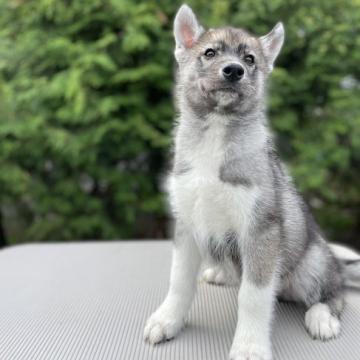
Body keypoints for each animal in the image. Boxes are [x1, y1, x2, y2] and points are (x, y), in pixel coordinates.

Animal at [144, 3, 360, 360]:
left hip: (313, 266)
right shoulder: (187, 224)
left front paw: (249, 346)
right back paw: (220, 273)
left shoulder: (261, 231)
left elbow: (253, 296)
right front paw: (167, 320)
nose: (234, 71)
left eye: (250, 59)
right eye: (210, 52)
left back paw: (321, 317)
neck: (216, 135)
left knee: (334, 292)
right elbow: (179, 281)